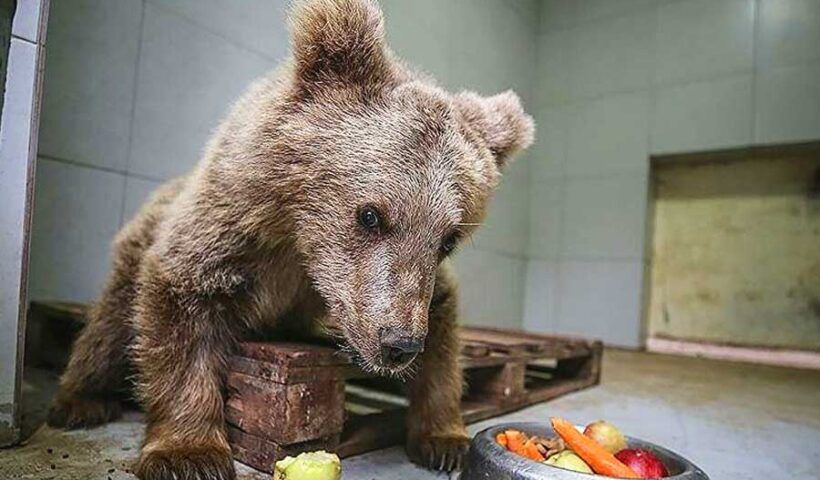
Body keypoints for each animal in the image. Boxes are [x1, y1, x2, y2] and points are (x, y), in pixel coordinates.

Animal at [45, 0, 534, 478]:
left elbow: (442, 335)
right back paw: (81, 400)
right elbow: (184, 308)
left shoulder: (408, 285)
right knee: (110, 325)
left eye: (448, 239)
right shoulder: (232, 230)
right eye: (371, 215)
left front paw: (444, 440)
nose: (398, 345)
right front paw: (189, 454)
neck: (301, 240)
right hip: (136, 248)